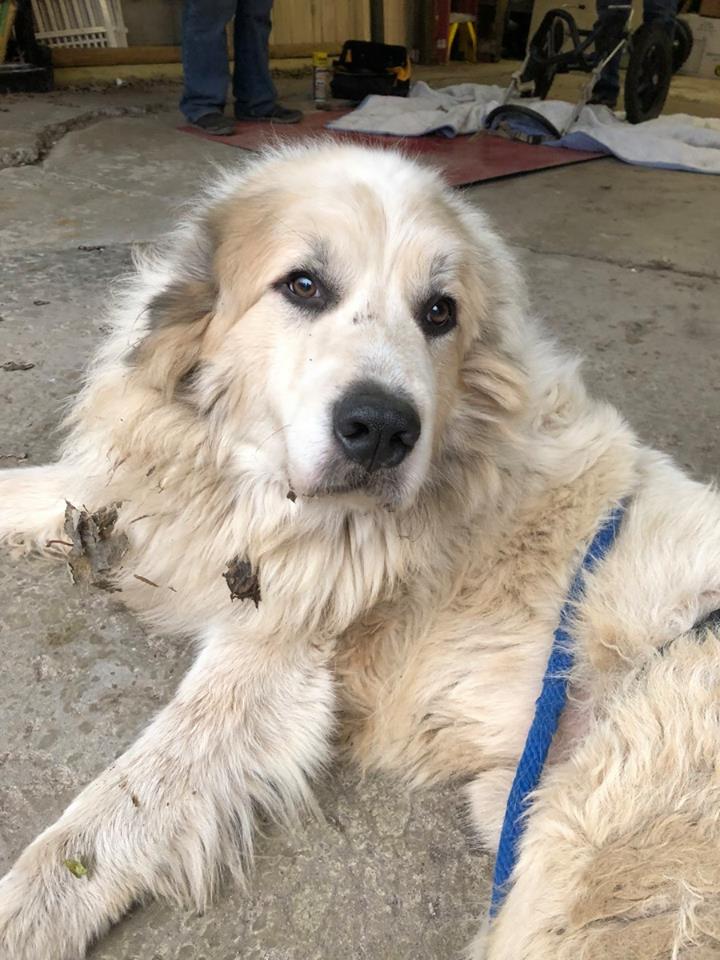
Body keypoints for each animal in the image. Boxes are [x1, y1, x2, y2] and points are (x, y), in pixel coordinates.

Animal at [1, 144, 720, 960]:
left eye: (439, 312)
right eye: (303, 286)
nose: (380, 428)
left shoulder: (271, 660)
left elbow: (117, 806)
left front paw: (26, 912)